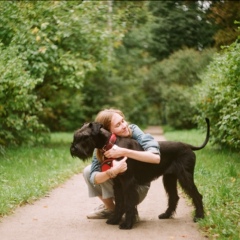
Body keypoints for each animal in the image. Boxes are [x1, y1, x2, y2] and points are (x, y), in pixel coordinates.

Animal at [70, 119, 210, 230]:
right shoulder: (118, 184)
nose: (73, 149)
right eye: (75, 136)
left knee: (197, 195)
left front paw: (127, 224)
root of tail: (188, 146)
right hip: (169, 178)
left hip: (185, 177)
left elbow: (128, 203)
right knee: (174, 197)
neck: (111, 144)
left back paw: (199, 216)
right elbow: (119, 203)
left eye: (85, 136)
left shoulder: (128, 183)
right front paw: (115, 220)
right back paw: (166, 215)